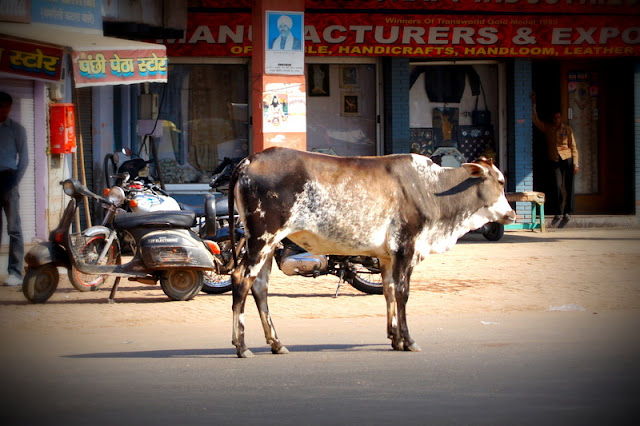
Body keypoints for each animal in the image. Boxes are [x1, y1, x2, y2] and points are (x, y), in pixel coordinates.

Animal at [228, 147, 516, 358]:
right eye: (501, 181)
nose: (512, 214)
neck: (430, 188)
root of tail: (250, 160)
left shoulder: (388, 256)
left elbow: (389, 292)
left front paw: (395, 338)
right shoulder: (406, 248)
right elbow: (402, 294)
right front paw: (408, 340)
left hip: (268, 245)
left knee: (260, 287)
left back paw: (276, 343)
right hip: (261, 239)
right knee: (241, 279)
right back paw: (242, 346)